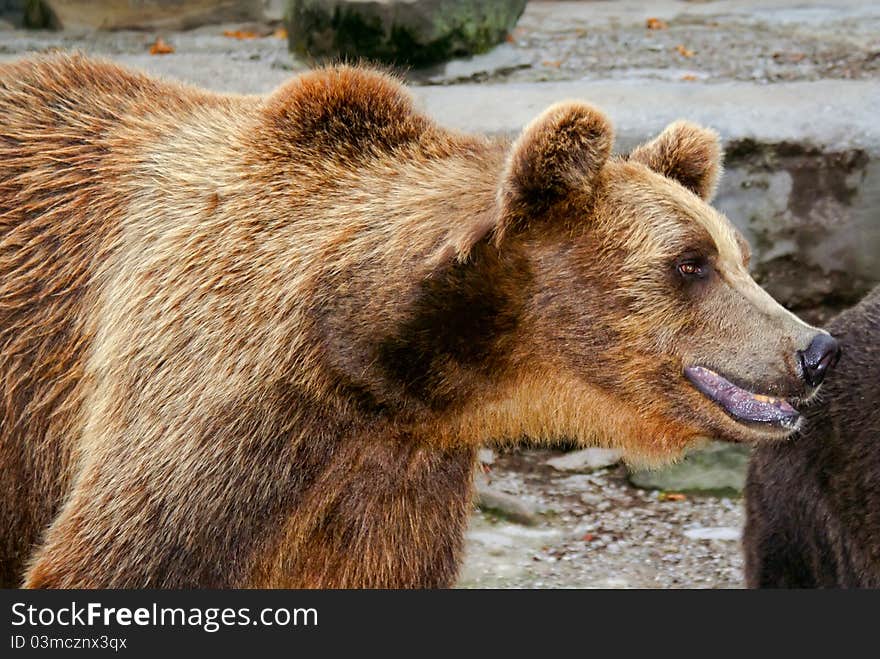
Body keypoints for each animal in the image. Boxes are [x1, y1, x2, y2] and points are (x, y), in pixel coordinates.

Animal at [0, 52, 840, 588]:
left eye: (739, 254)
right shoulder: (215, 415)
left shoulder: (396, 482)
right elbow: (119, 553)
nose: (816, 347)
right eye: (690, 262)